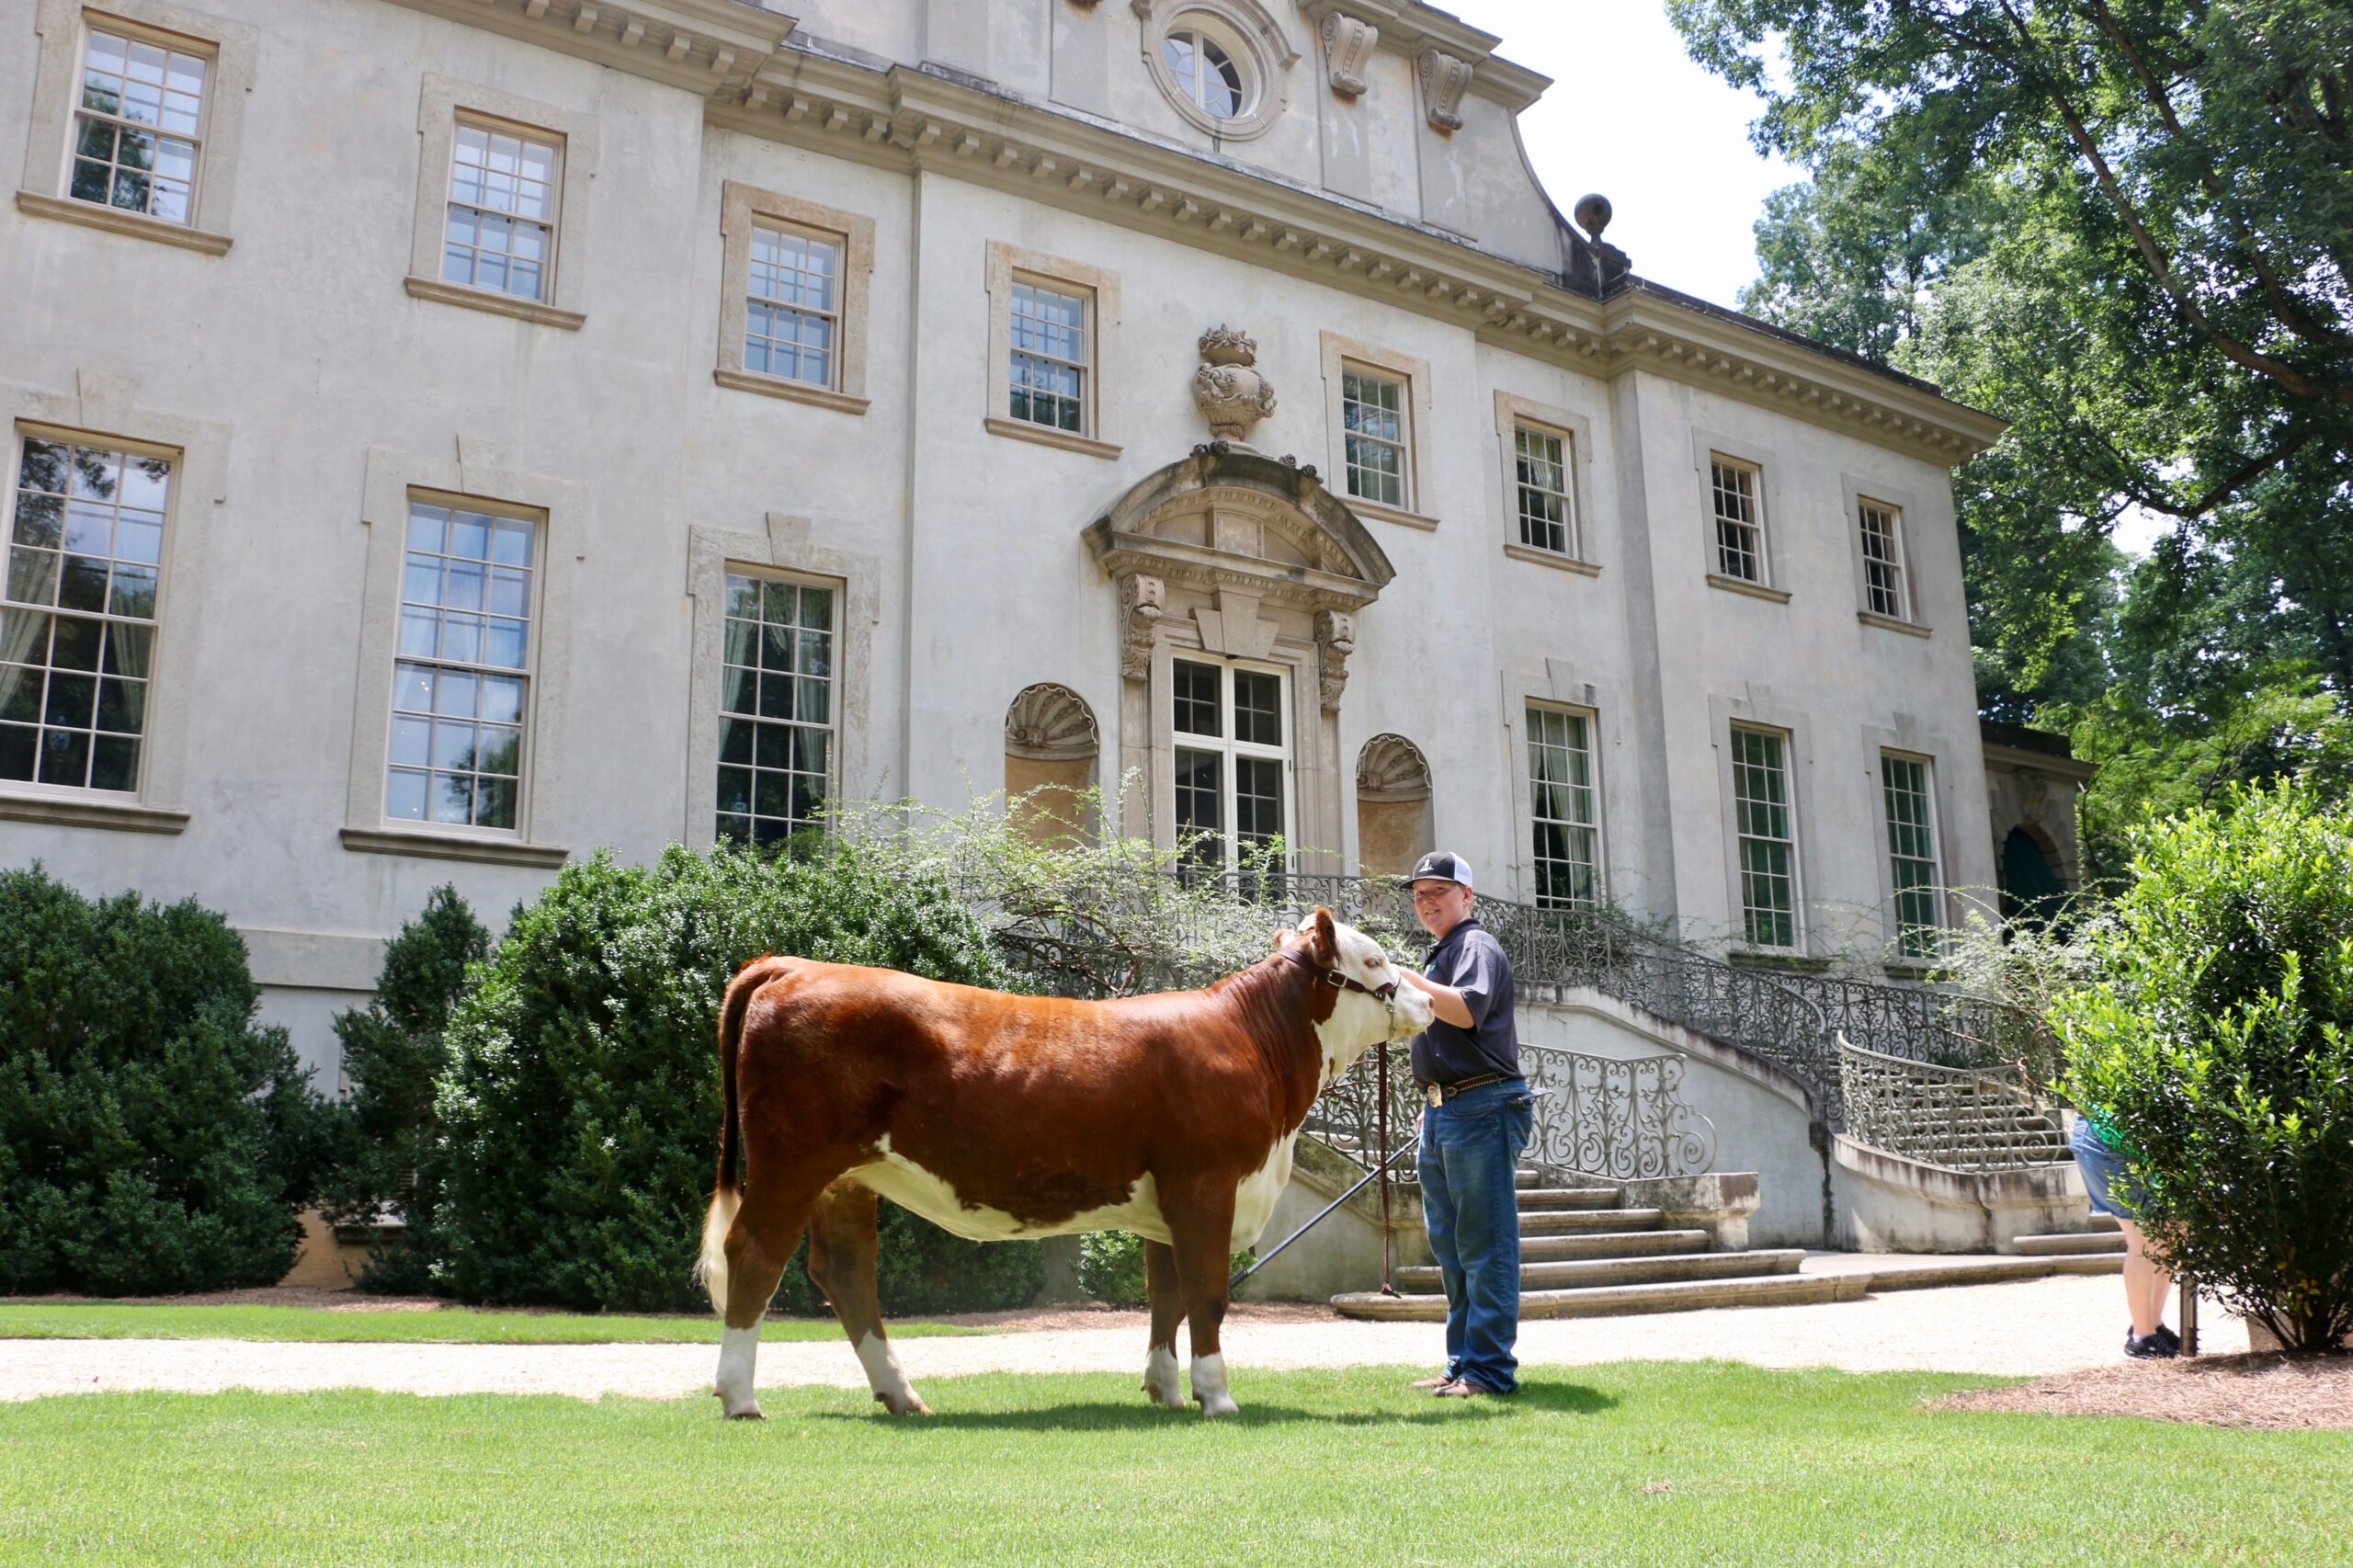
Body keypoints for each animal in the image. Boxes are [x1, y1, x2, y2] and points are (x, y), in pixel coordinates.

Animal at [691, 899, 1430, 1412]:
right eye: (1372, 961)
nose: (1426, 1000)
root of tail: (794, 964)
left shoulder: (1166, 1201)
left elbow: (1165, 1296)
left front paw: (1164, 1389)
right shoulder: (1206, 1183)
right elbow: (1208, 1294)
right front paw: (1216, 1395)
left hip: (847, 1176)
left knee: (845, 1272)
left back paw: (900, 1394)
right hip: (792, 1161)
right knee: (755, 1254)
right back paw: (740, 1396)